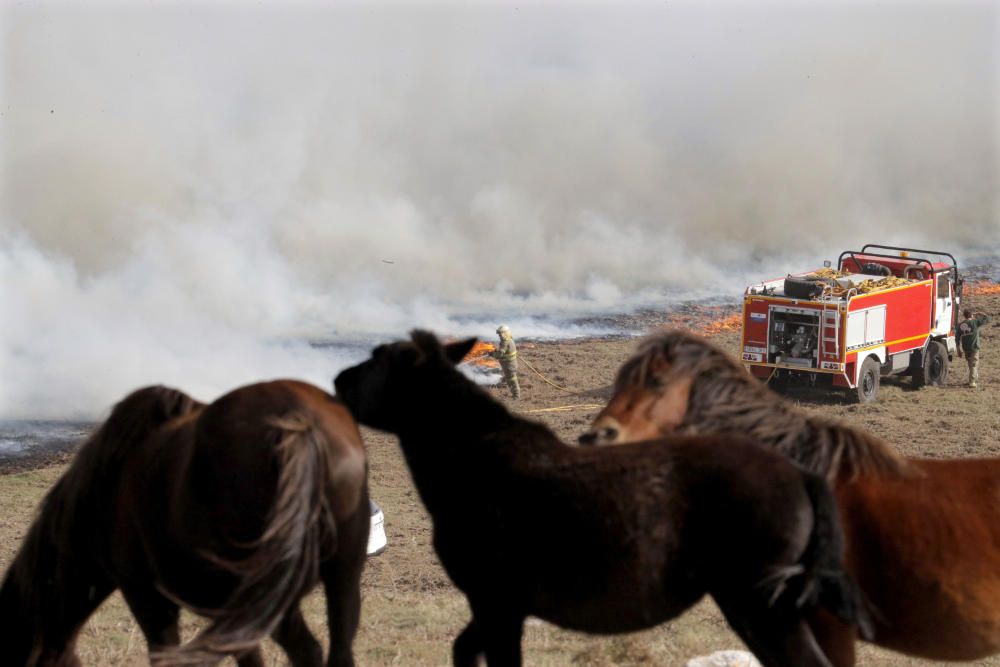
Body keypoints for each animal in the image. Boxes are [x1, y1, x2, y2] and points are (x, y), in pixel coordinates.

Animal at [332, 330, 872, 667]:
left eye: (378, 359)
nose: (335, 381)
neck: (475, 451)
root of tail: (801, 476)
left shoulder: (496, 602)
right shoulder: (494, 608)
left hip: (763, 606)